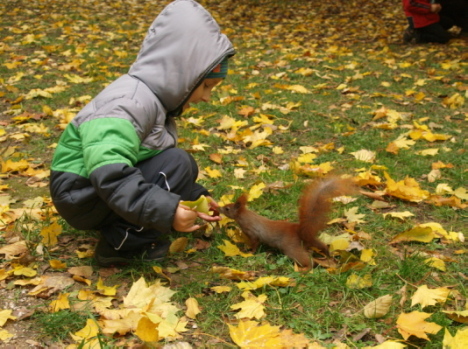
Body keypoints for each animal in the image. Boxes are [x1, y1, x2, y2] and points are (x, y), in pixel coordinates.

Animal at [218, 177, 354, 270]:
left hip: (291, 248)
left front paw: (250, 252)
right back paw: (327, 254)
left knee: (306, 259)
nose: (219, 208)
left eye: (227, 209)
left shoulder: (252, 232)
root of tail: (299, 231)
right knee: (319, 245)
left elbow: (255, 243)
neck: (244, 216)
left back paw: (306, 269)